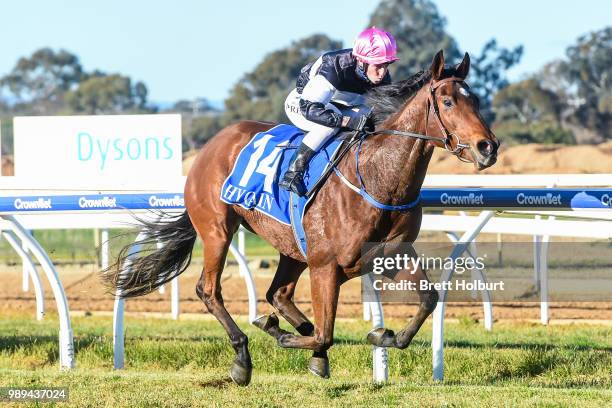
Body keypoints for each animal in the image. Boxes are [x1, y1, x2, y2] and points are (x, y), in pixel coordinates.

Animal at [103, 49, 500, 384]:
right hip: (217, 229)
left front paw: (383, 335)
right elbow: (326, 332)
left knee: (277, 294)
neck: (377, 177)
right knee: (210, 290)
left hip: (291, 246)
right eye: (447, 101)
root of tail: (211, 144)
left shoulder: (392, 253)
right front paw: (290, 340)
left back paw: (283, 330)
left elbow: (428, 299)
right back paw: (244, 357)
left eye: (476, 100)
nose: (488, 147)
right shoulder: (325, 265)